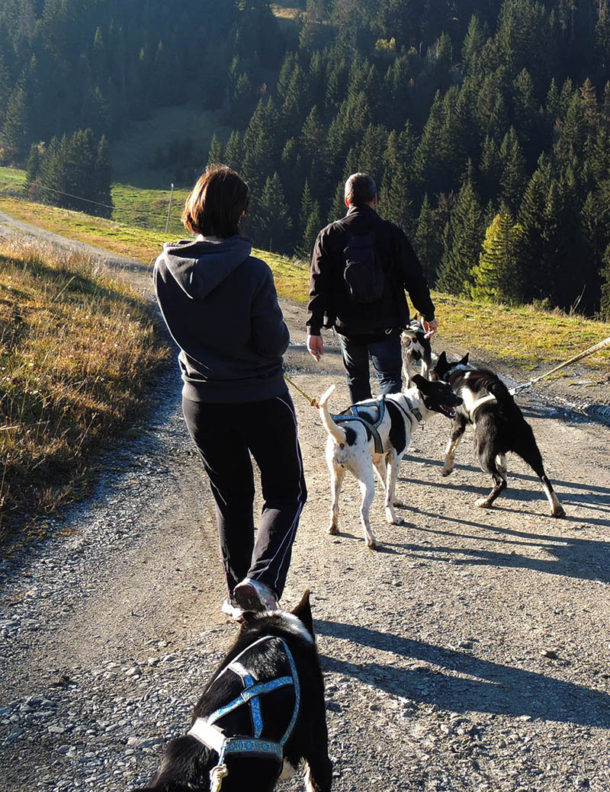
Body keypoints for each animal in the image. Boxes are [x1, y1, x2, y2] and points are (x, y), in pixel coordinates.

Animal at [318, 374, 460, 548]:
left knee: (334, 504)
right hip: (366, 480)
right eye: (441, 390)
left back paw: (333, 528)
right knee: (363, 510)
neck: (408, 405)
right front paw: (392, 518)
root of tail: (344, 433)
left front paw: (395, 502)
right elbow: (389, 491)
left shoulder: (378, 459)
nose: (460, 399)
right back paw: (372, 540)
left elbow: (386, 484)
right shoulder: (395, 457)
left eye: (450, 388)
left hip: (337, 476)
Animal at [432, 352, 564, 520]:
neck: (455, 372)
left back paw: (486, 502)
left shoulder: (458, 422)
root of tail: (504, 406)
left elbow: (449, 448)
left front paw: (446, 469)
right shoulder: (499, 451)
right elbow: (502, 464)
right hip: (531, 452)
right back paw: (557, 508)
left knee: (501, 482)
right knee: (544, 478)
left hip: (482, 453)